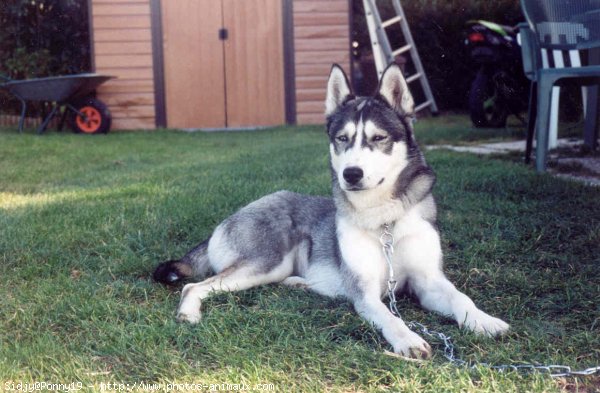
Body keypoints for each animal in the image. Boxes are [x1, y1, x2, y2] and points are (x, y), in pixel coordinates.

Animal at [154, 62, 506, 356]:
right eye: (342, 139)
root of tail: (230, 218)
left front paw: (485, 321)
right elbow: (390, 317)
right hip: (266, 262)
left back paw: (301, 284)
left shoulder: (429, 281)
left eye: (378, 138)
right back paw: (188, 312)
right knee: (194, 285)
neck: (385, 221)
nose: (351, 174)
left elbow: (461, 298)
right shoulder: (366, 294)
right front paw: (408, 339)